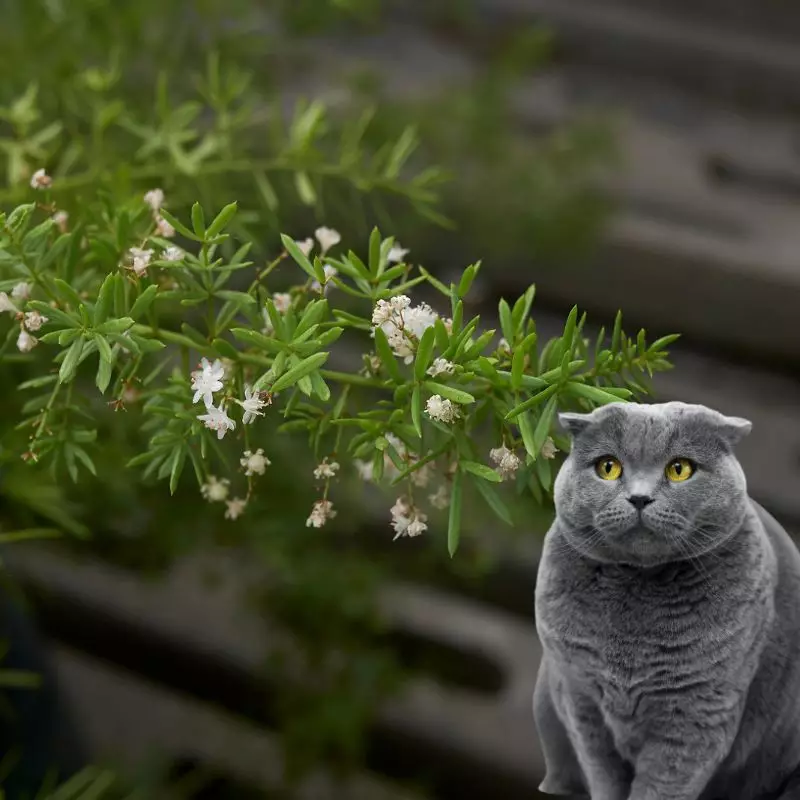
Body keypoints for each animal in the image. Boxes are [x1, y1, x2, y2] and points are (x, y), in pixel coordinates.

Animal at [536, 404, 800, 796]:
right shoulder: (580, 699)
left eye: (680, 469)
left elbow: (662, 785)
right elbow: (602, 774)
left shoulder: (697, 714)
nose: (640, 497)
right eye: (608, 467)